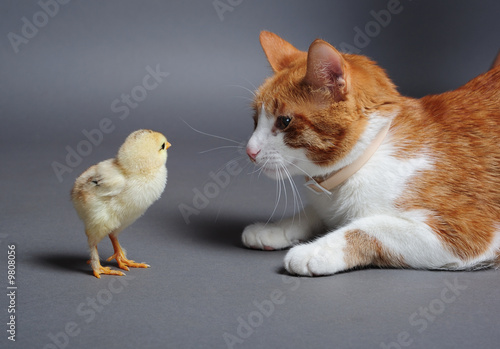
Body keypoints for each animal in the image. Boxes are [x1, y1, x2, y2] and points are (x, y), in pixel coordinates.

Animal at [242, 31, 500, 274]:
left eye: (284, 121)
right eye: (255, 120)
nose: (249, 151)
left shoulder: (466, 230)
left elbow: (370, 226)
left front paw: (315, 251)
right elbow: (314, 214)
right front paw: (274, 228)